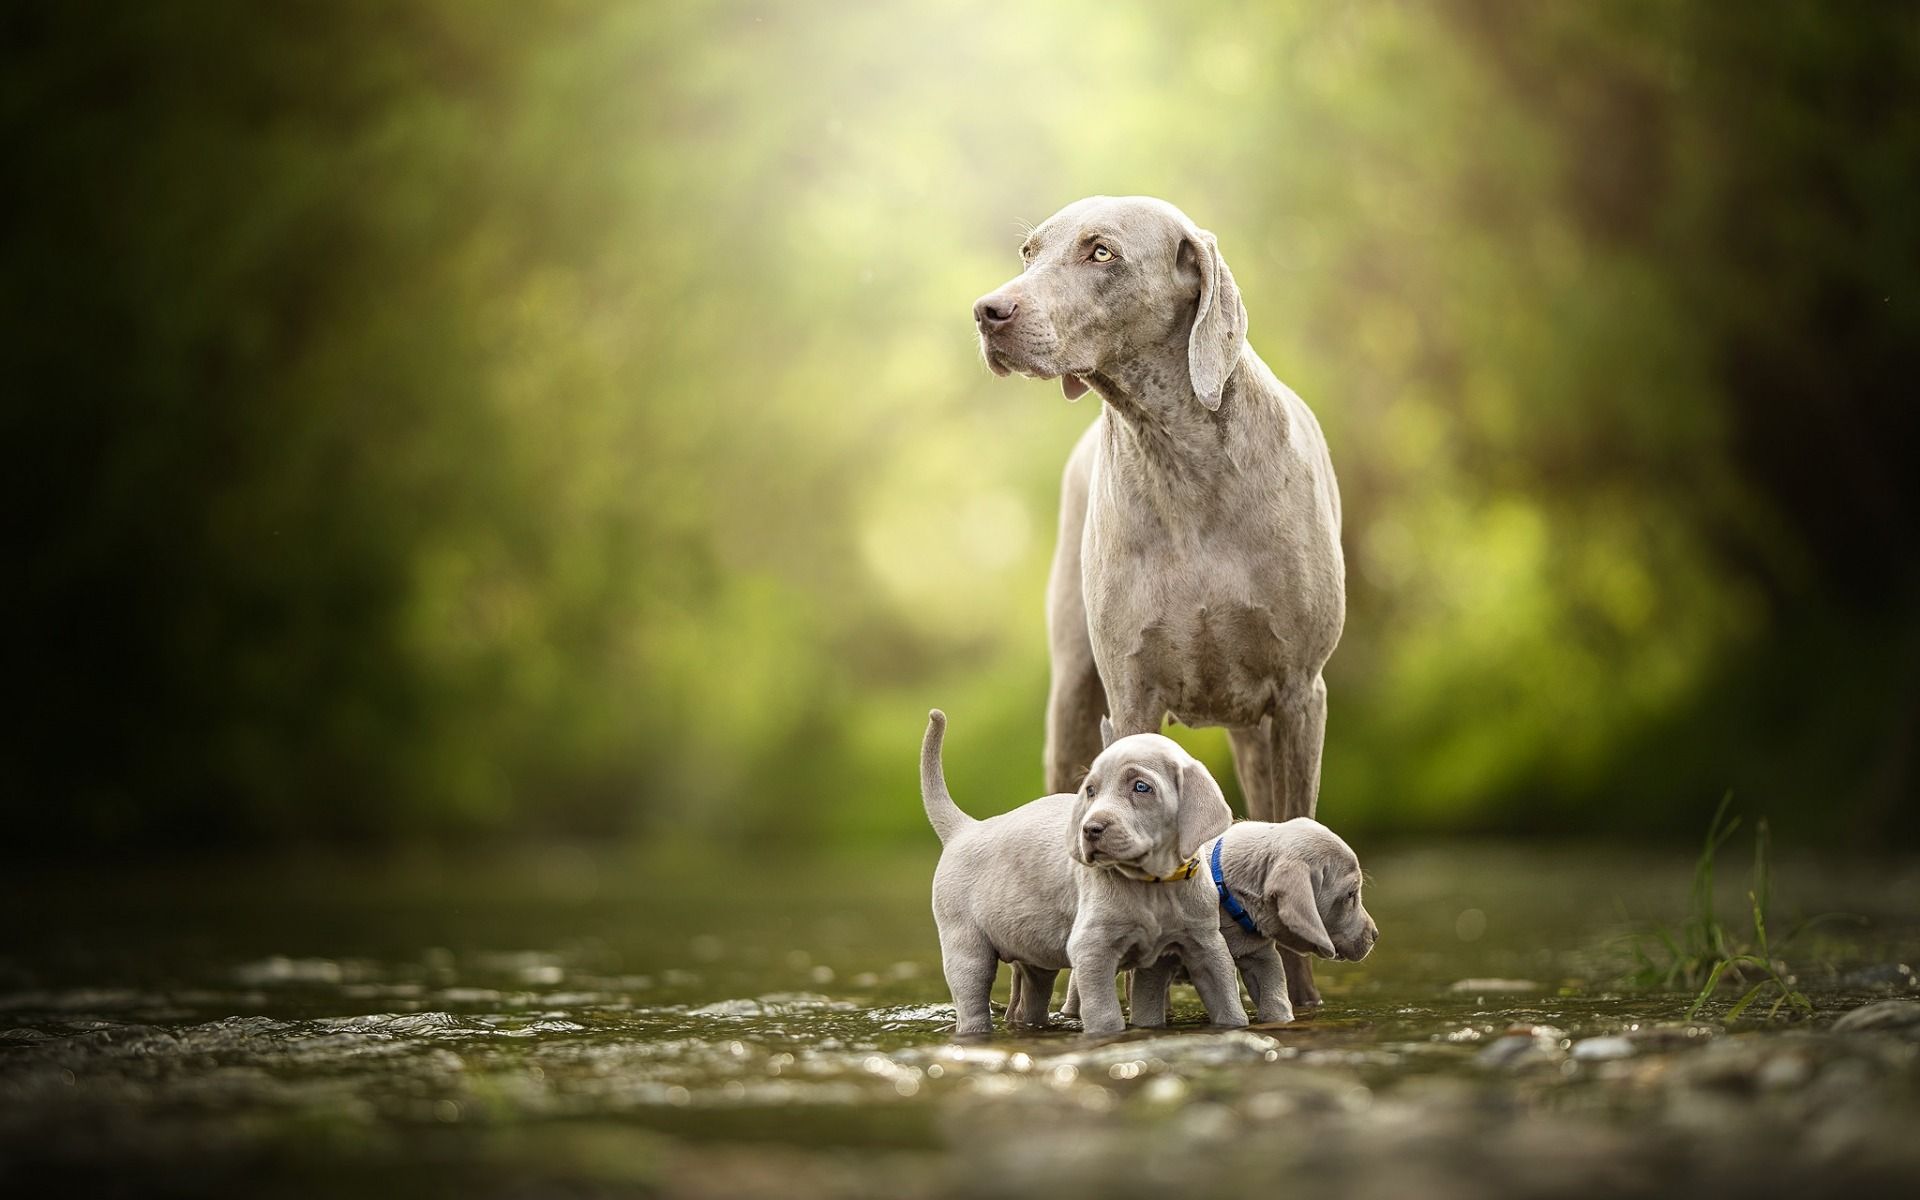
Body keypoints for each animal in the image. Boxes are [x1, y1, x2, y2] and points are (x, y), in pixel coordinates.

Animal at [917, 706, 1244, 1036]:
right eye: (1090, 791)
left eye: (1141, 787)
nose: (1090, 829)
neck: (1154, 885)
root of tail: (964, 828)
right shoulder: (1092, 949)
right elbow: (1106, 1015)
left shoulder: (1204, 944)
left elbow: (1228, 1005)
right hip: (966, 949)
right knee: (972, 1003)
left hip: (1034, 956)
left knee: (1029, 1001)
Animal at [967, 193, 1344, 998]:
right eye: (1028, 251)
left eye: (1101, 252)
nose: (988, 311)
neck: (1181, 455)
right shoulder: (1129, 691)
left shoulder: (1302, 691)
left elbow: (1293, 824)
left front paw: (1297, 993)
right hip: (1071, 695)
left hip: (1258, 724)